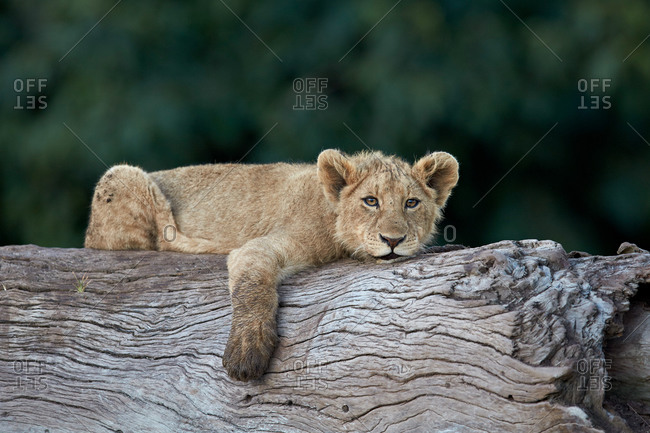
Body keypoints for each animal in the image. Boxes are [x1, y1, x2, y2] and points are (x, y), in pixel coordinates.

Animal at [84, 149, 459, 381]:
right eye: (371, 201)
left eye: (411, 203)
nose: (393, 240)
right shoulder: (260, 247)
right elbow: (252, 288)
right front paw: (246, 353)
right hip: (121, 176)